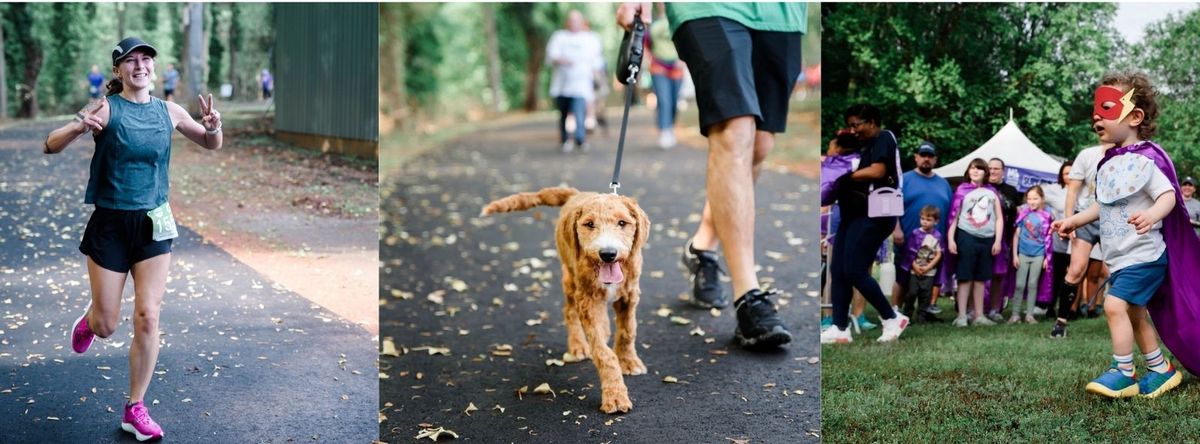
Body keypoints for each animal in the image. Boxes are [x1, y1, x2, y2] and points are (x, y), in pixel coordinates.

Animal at [480, 186, 652, 412]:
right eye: (589, 224)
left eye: (622, 223)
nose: (608, 254)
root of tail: (576, 194)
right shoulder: (587, 300)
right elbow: (603, 352)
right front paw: (614, 395)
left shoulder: (629, 296)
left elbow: (627, 332)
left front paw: (629, 361)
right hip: (570, 279)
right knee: (569, 312)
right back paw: (578, 344)